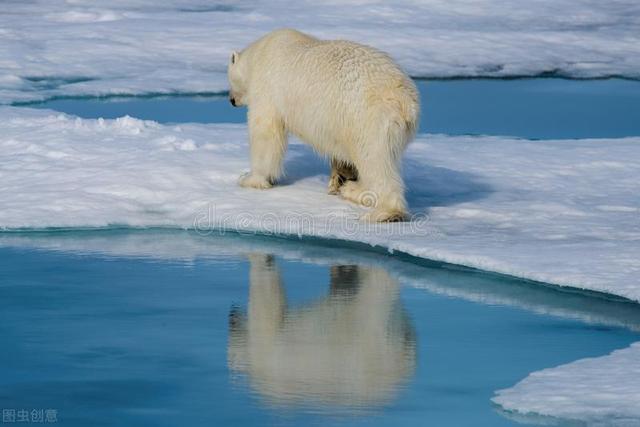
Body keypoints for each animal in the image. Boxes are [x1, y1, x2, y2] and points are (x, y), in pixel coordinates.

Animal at [226, 29, 420, 222]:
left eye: (229, 80)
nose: (231, 101)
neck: (260, 53)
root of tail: (405, 101)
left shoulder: (267, 88)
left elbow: (265, 133)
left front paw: (249, 179)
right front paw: (338, 178)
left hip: (369, 119)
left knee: (374, 161)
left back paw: (383, 210)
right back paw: (351, 188)